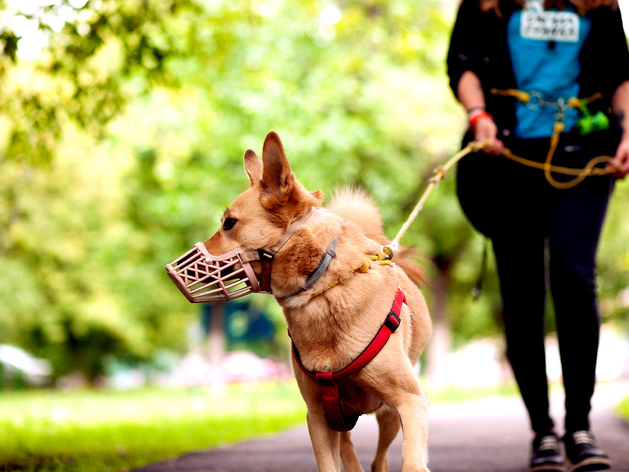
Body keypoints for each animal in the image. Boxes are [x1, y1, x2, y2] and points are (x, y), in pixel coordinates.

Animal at [201, 133, 432, 472]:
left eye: (229, 223)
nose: (168, 268)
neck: (321, 290)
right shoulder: (319, 417)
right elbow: (329, 465)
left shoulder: (411, 401)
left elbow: (412, 461)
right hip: (340, 415)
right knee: (350, 452)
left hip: (389, 414)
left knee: (379, 459)